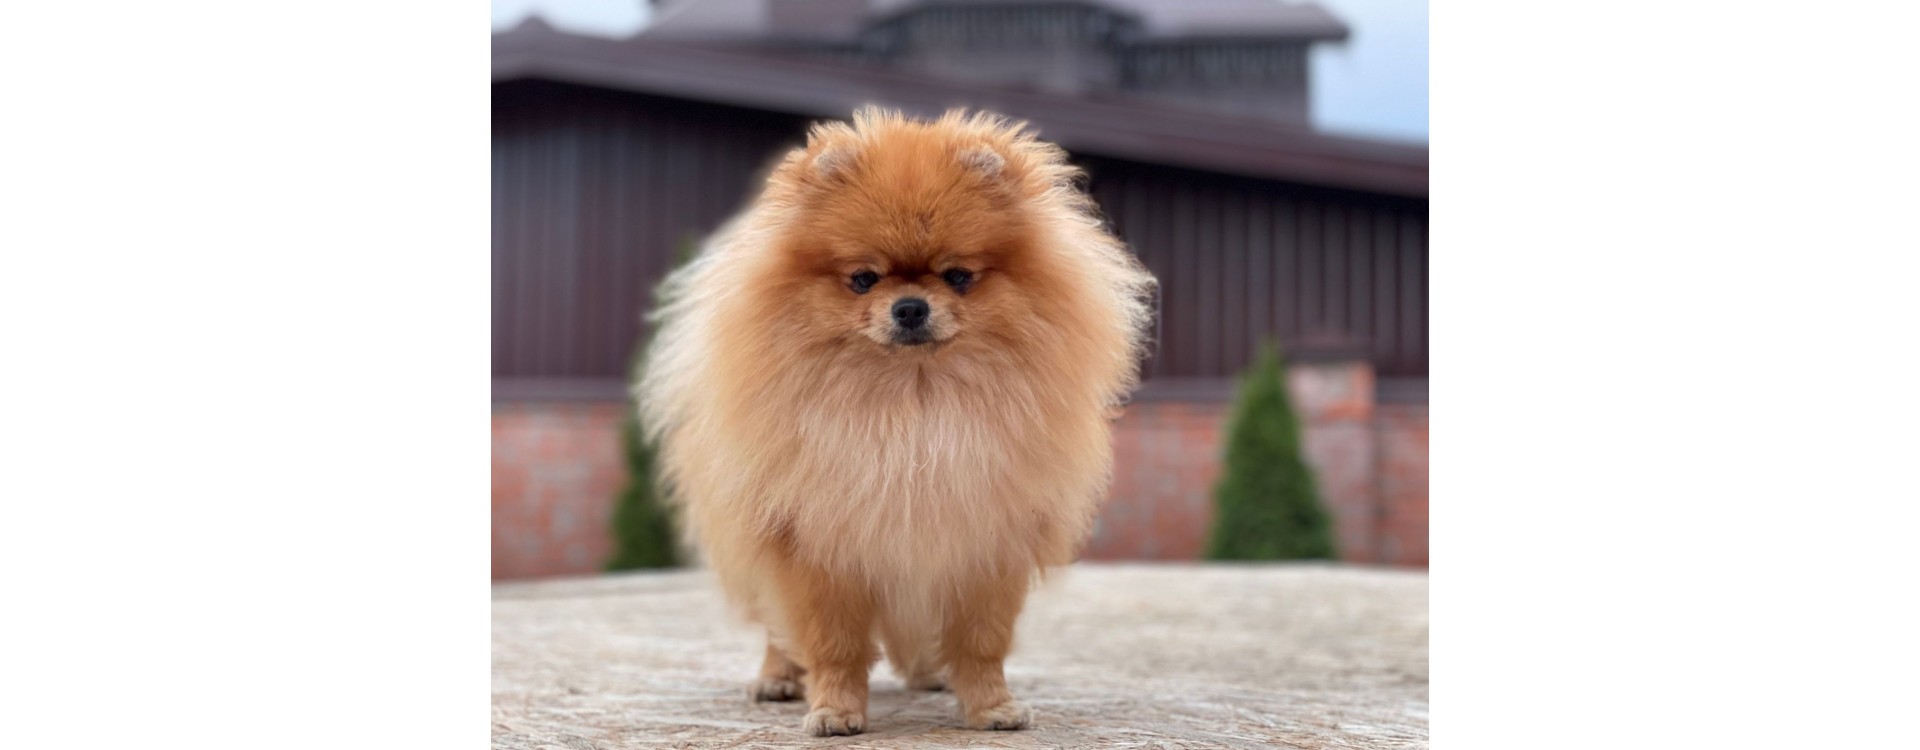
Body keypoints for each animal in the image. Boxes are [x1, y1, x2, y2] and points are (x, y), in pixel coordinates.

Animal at [641, 108, 1152, 736]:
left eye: (957, 276)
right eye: (864, 278)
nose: (910, 306)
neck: (913, 404)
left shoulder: (985, 542)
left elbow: (982, 642)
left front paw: (991, 706)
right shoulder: (815, 545)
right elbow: (832, 641)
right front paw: (835, 709)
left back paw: (930, 673)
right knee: (775, 625)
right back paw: (778, 677)